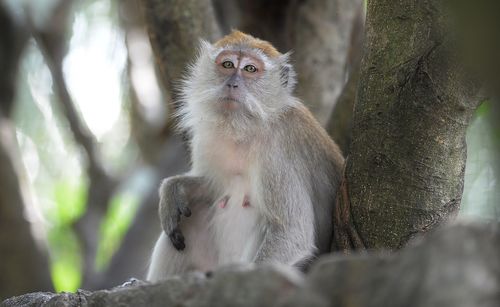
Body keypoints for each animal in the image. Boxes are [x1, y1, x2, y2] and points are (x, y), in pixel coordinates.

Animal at [146, 30, 344, 282]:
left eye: (250, 69)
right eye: (228, 65)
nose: (233, 83)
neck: (245, 130)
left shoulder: (278, 151)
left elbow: (292, 232)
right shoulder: (207, 137)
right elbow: (212, 186)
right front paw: (173, 189)